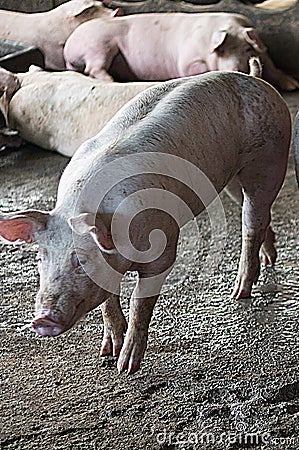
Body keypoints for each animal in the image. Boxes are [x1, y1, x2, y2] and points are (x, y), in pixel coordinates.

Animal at [63, 11, 299, 90]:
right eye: (221, 51)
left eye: (247, 48)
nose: (237, 69)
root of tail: (68, 47)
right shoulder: (187, 61)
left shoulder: (264, 53)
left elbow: (273, 66)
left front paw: (293, 85)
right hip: (99, 46)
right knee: (94, 69)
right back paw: (114, 82)